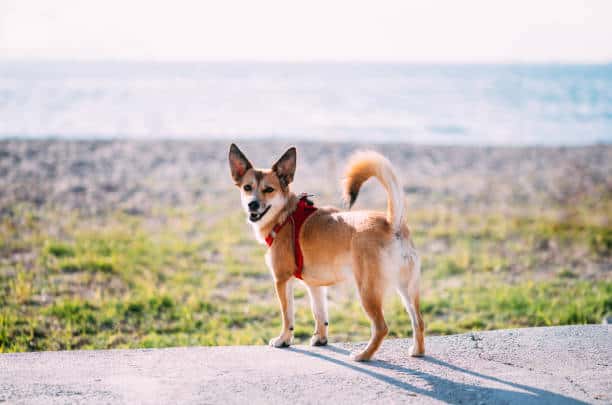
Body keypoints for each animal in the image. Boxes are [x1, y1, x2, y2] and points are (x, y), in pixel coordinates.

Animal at [227, 144, 424, 360]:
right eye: (247, 187)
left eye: (268, 189)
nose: (252, 204)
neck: (285, 216)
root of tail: (391, 223)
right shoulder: (316, 286)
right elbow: (320, 314)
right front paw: (320, 339)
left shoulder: (282, 280)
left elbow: (288, 316)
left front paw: (283, 340)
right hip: (407, 288)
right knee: (418, 321)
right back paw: (417, 351)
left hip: (367, 291)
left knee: (381, 327)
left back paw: (363, 355)